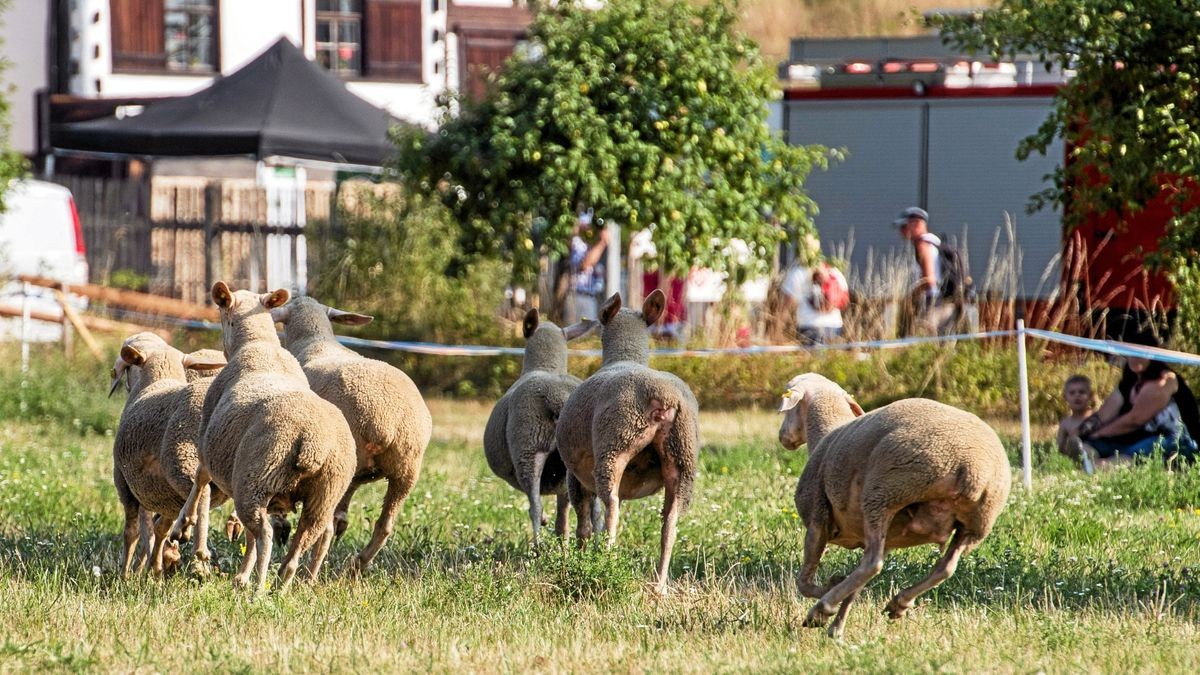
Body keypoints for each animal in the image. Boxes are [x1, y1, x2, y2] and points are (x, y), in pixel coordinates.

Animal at [168, 282, 355, 588]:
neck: (259, 345)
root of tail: (312, 443)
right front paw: (242, 575)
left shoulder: (209, 441)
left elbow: (200, 478)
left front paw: (182, 526)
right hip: (322, 493)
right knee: (301, 544)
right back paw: (281, 585)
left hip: (255, 480)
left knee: (264, 534)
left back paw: (257, 587)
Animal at [270, 296, 434, 569]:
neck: (314, 340)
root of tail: (386, 424)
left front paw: (280, 526)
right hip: (407, 470)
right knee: (384, 525)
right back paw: (358, 564)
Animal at [484, 307, 597, 542]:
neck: (547, 365)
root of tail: (560, 398)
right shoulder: (562, 483)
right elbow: (562, 518)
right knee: (587, 515)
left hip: (529, 447)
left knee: (534, 506)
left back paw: (537, 546)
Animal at [554, 291, 700, 590]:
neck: (625, 355)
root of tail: (663, 395)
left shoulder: (575, 476)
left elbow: (584, 524)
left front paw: (580, 557)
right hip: (682, 462)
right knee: (669, 524)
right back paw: (659, 585)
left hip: (614, 447)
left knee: (611, 512)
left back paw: (605, 565)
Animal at [777, 372, 1012, 634]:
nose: (782, 437)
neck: (827, 431)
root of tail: (972, 469)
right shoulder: (890, 537)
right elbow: (855, 588)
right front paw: (837, 626)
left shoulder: (817, 519)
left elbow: (805, 582)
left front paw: (829, 596)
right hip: (977, 523)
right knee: (945, 568)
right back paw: (899, 603)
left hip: (883, 494)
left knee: (873, 564)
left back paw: (821, 609)